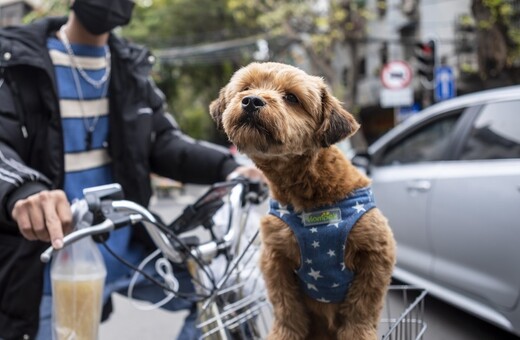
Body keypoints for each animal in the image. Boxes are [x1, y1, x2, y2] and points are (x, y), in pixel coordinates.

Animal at [209, 61, 396, 340]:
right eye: (246, 88)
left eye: (291, 97)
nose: (251, 101)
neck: (309, 194)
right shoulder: (276, 261)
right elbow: (286, 309)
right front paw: (283, 333)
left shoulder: (376, 253)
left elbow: (362, 308)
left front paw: (358, 333)